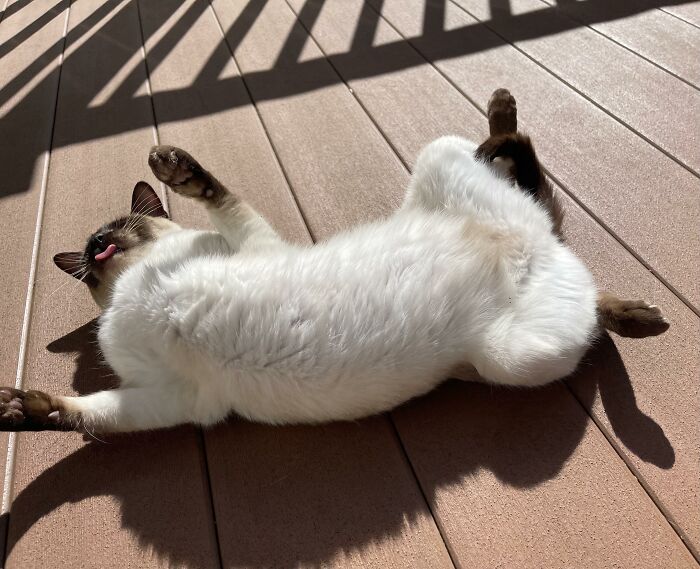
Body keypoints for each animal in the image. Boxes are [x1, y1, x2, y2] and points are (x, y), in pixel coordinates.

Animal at [0, 89, 668, 430]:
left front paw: (175, 169)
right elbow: (84, 414)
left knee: (521, 161)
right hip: (520, 349)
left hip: (513, 337)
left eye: (119, 228)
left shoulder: (255, 245)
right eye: (92, 255)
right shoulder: (177, 399)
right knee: (583, 283)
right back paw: (641, 316)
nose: (96, 244)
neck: (134, 281)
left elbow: (217, 194)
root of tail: (531, 243)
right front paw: (19, 408)